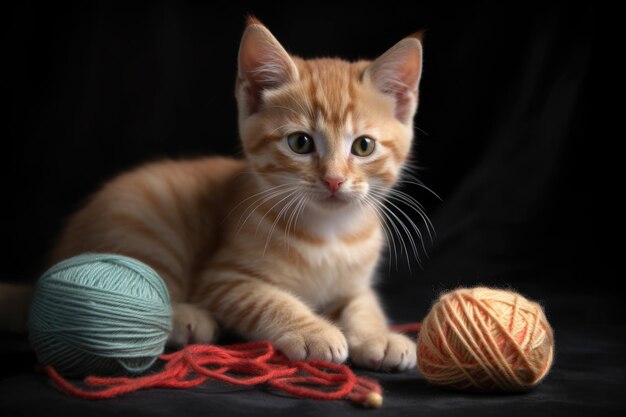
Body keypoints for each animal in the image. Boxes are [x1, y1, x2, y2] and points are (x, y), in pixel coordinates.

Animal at [48, 19, 422, 370]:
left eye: (363, 146)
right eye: (300, 143)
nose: (333, 180)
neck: (331, 235)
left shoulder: (356, 284)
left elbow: (366, 305)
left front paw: (378, 337)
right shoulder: (223, 279)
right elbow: (269, 300)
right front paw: (314, 331)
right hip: (144, 230)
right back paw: (186, 319)